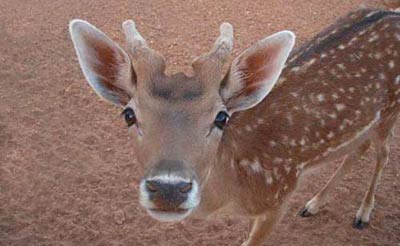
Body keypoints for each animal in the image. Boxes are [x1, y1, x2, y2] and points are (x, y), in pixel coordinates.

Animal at [69, 8, 400, 245]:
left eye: (221, 117)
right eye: (129, 114)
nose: (168, 189)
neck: (232, 193)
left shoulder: (279, 196)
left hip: (390, 110)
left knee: (382, 153)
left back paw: (363, 214)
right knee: (359, 147)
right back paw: (314, 204)